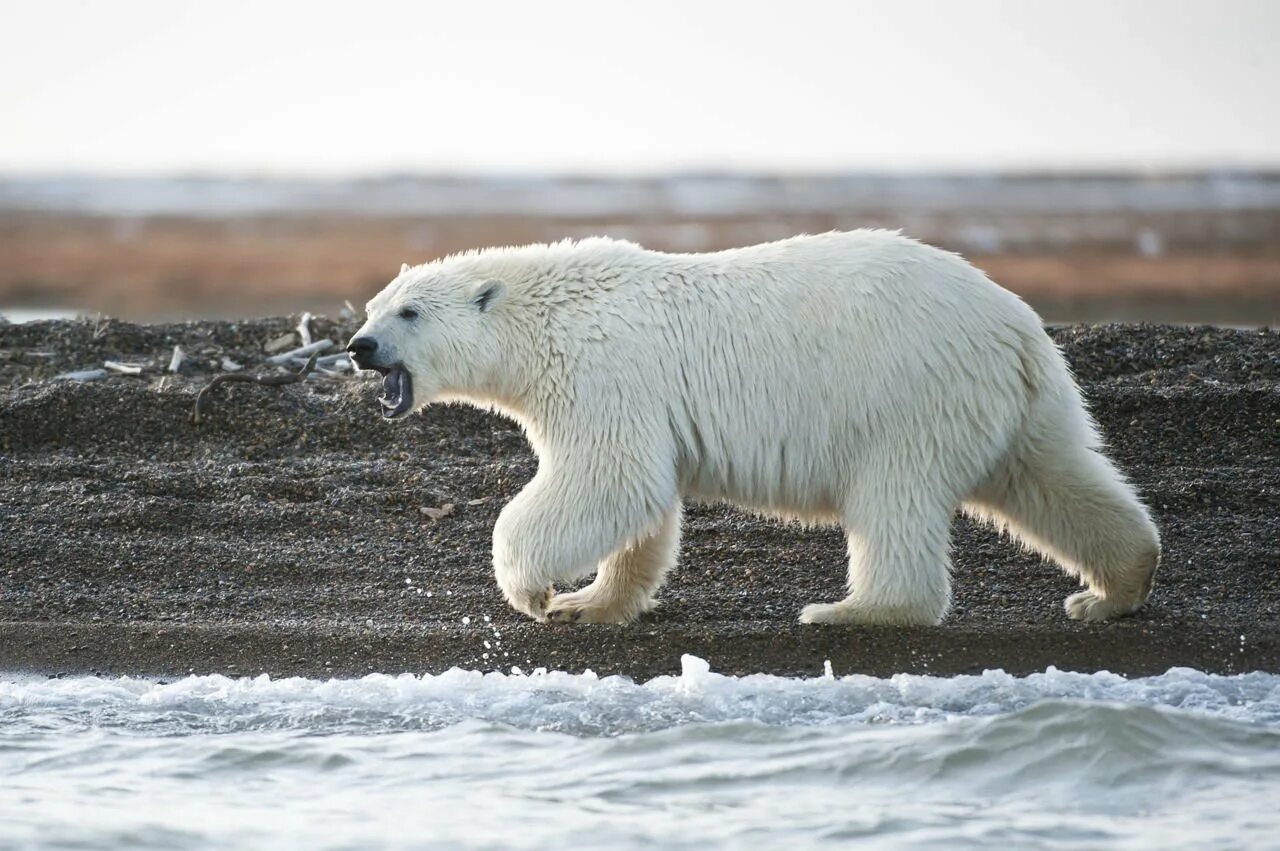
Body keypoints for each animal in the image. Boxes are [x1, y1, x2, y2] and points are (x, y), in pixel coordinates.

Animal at [348, 230, 1162, 624]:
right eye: (374, 305)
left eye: (408, 312)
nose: (358, 346)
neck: (545, 312)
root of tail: (1015, 326)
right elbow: (643, 504)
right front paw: (592, 604)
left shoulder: (602, 370)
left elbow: (610, 477)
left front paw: (535, 592)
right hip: (1016, 405)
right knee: (1055, 476)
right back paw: (1110, 589)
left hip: (907, 394)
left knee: (892, 497)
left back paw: (851, 610)